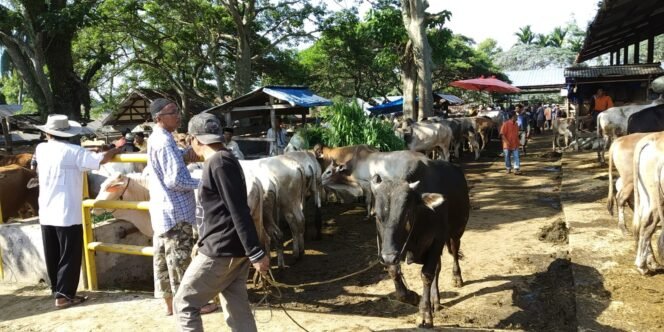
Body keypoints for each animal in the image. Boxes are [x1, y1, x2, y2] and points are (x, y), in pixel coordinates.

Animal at [370, 160, 470, 328]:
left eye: (406, 214)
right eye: (377, 215)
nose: (388, 257)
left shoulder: (437, 240)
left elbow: (427, 274)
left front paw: (425, 315)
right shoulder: (393, 249)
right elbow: (394, 272)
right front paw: (413, 297)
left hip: (457, 230)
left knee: (454, 252)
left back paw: (456, 278)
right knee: (438, 267)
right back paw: (435, 300)